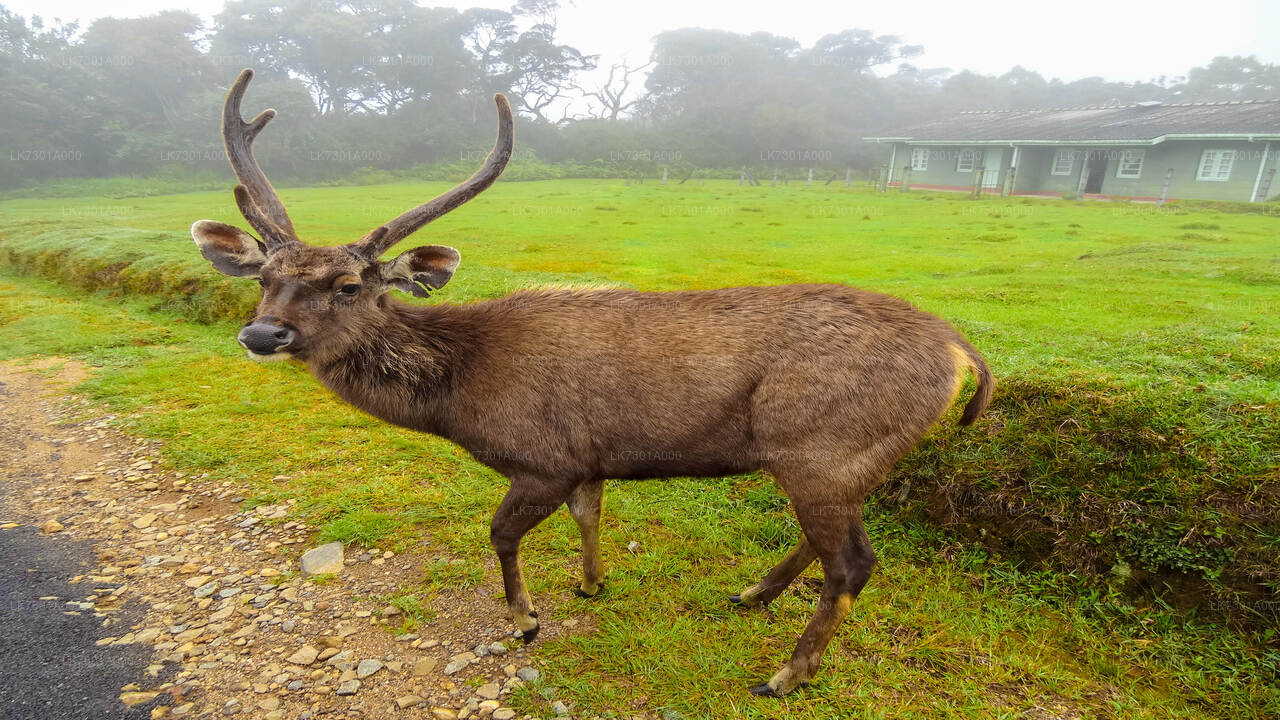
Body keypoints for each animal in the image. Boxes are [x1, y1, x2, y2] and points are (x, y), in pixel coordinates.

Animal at [192, 68, 988, 696]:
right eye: (263, 279)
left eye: (351, 285)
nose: (263, 335)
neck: (460, 391)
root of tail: (962, 351)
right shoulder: (588, 459)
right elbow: (591, 515)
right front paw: (591, 582)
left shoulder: (543, 456)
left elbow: (500, 532)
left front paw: (525, 618)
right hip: (846, 458)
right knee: (832, 543)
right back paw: (752, 593)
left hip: (824, 446)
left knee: (853, 563)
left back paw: (785, 674)